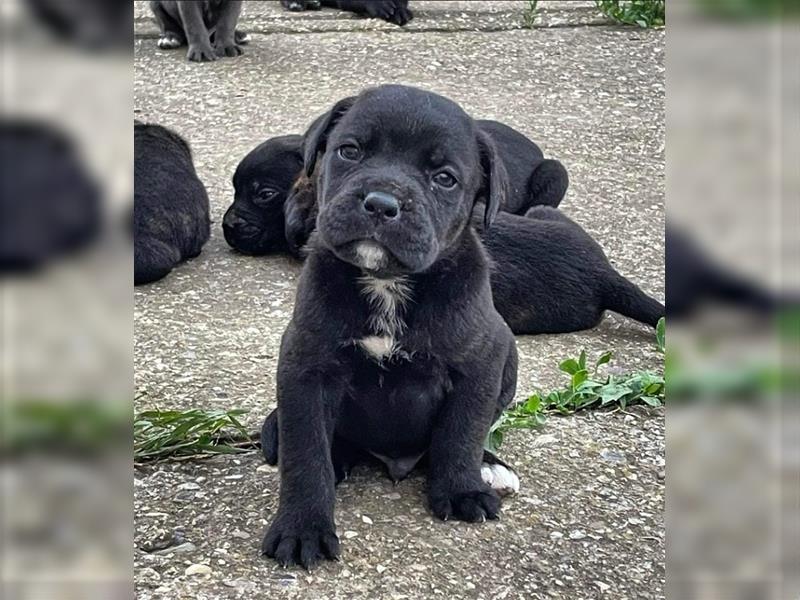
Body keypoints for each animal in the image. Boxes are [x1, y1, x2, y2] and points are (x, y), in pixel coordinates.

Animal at [262, 84, 520, 568]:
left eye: (444, 178)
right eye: (349, 151)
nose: (381, 203)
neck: (387, 282)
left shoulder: (481, 361)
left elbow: (462, 430)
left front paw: (461, 488)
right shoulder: (307, 366)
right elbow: (306, 452)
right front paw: (302, 527)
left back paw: (489, 467)